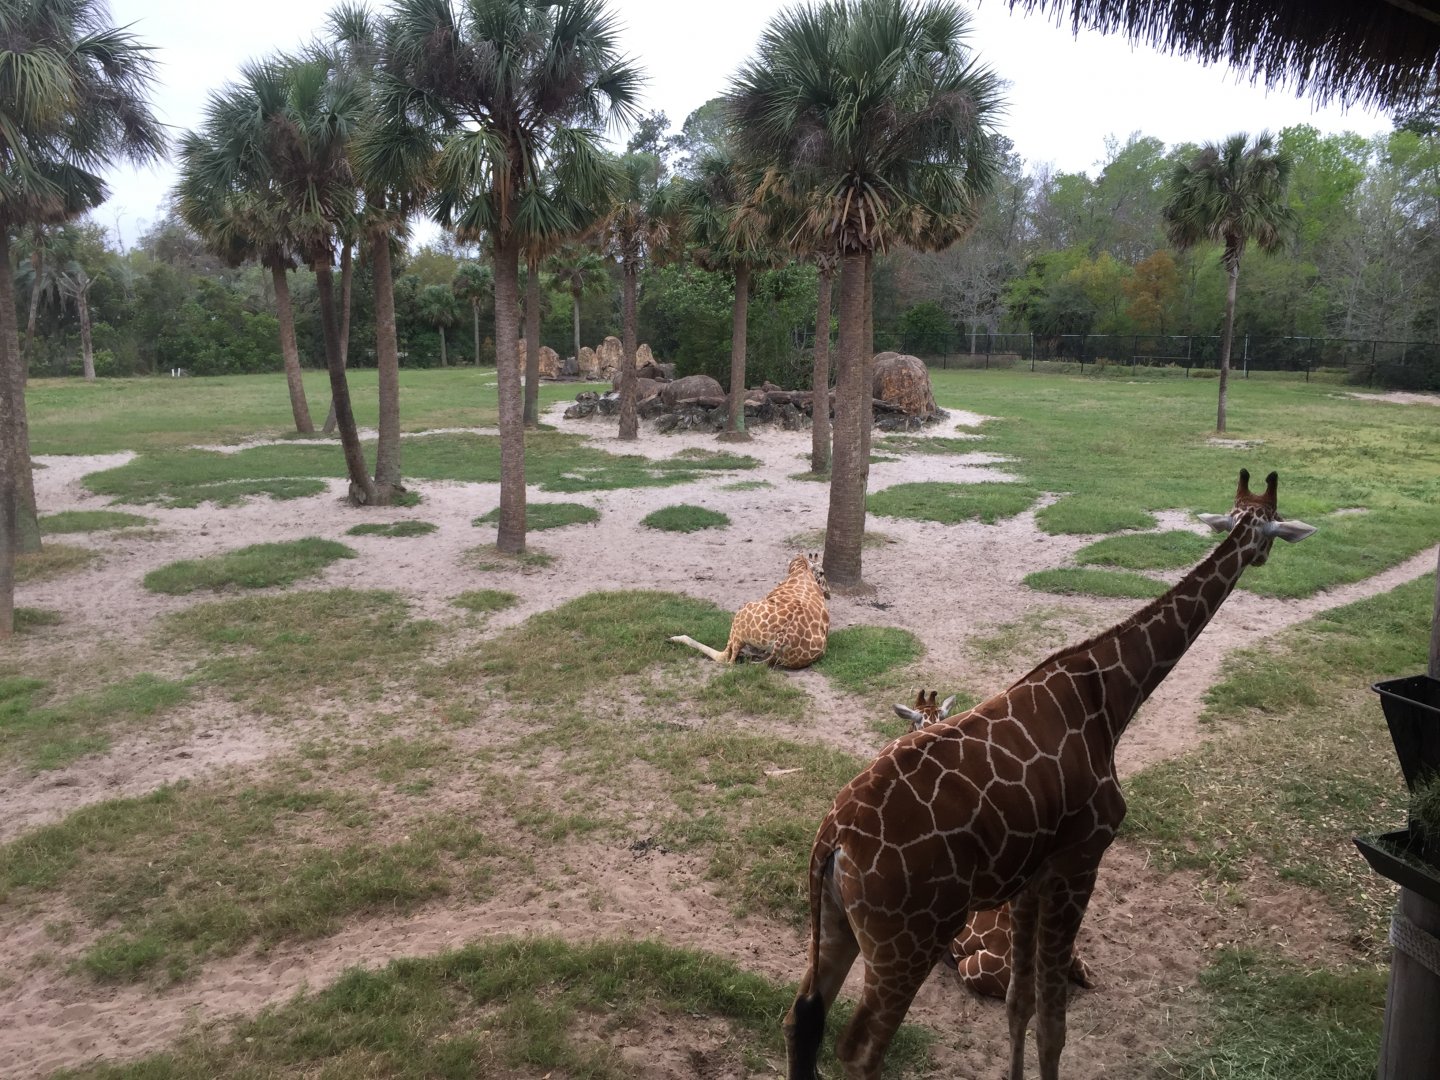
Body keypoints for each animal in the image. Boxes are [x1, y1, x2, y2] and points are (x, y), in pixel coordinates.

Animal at [670, 551, 830, 670]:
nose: (828, 592)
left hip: (739, 621)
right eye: (822, 572)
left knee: (727, 659)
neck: (801, 568)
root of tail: (782, 639)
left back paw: (673, 638)